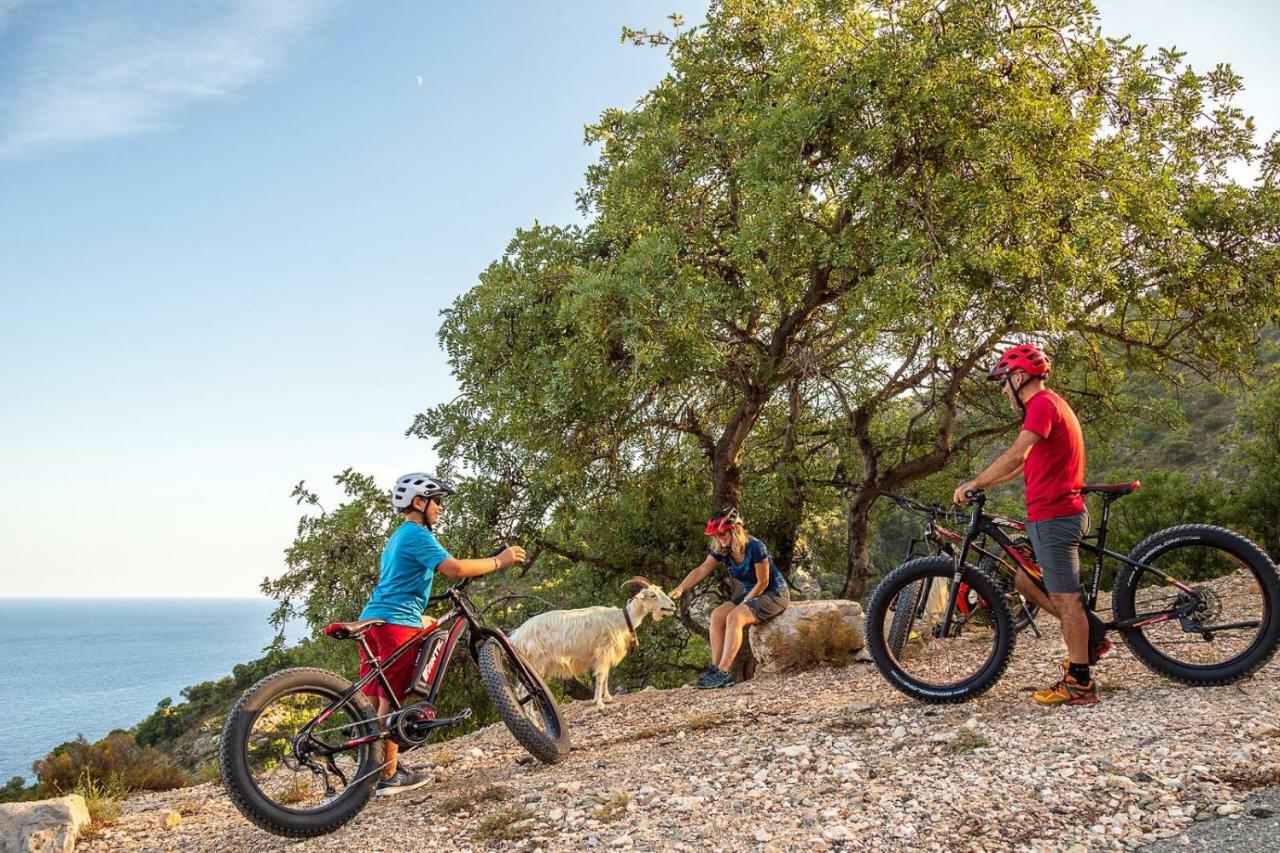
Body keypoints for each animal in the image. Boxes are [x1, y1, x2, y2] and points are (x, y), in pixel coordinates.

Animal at [506, 573, 680, 706]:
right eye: (652, 595)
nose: (672, 606)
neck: (619, 619)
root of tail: (516, 636)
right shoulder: (603, 652)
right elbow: (601, 676)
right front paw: (599, 703)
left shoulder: (606, 655)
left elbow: (606, 676)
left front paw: (607, 698)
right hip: (534, 662)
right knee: (523, 690)